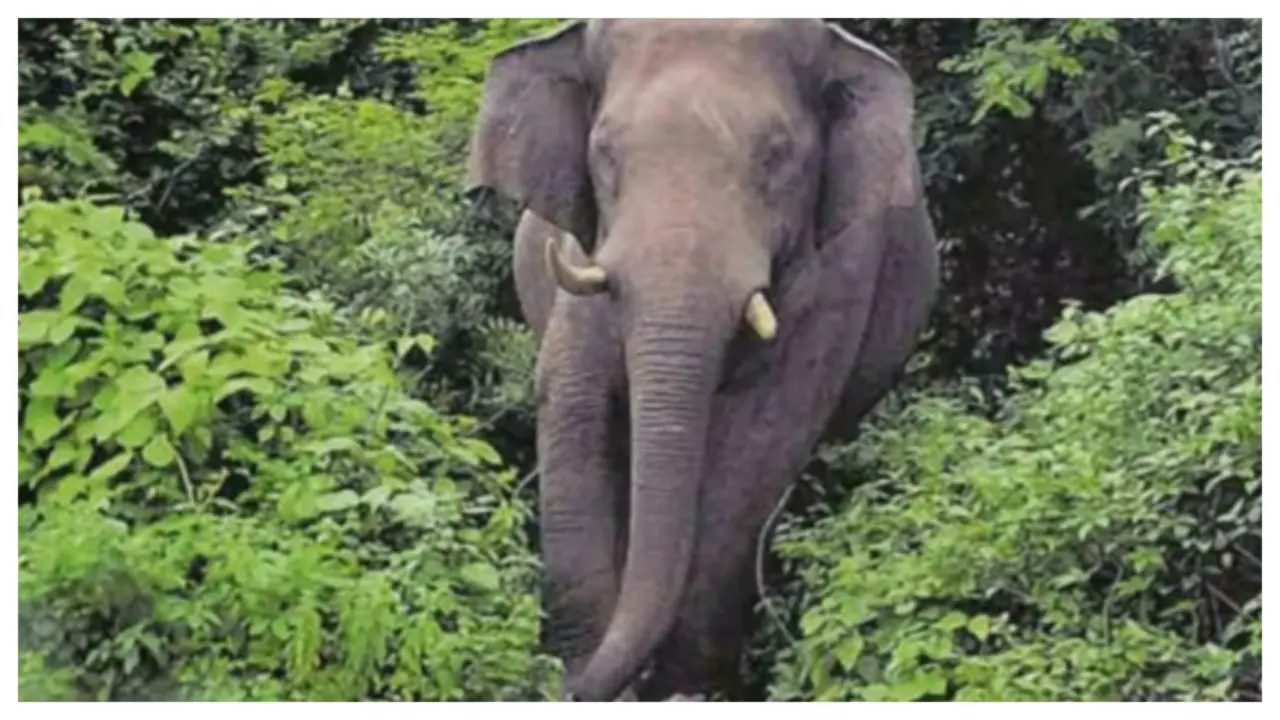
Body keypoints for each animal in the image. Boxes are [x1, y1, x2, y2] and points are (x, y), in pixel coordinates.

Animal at [465, 19, 940, 701]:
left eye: (776, 157)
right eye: (604, 152)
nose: (570, 690)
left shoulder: (844, 268)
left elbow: (763, 438)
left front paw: (685, 687)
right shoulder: (583, 254)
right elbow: (574, 402)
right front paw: (585, 662)